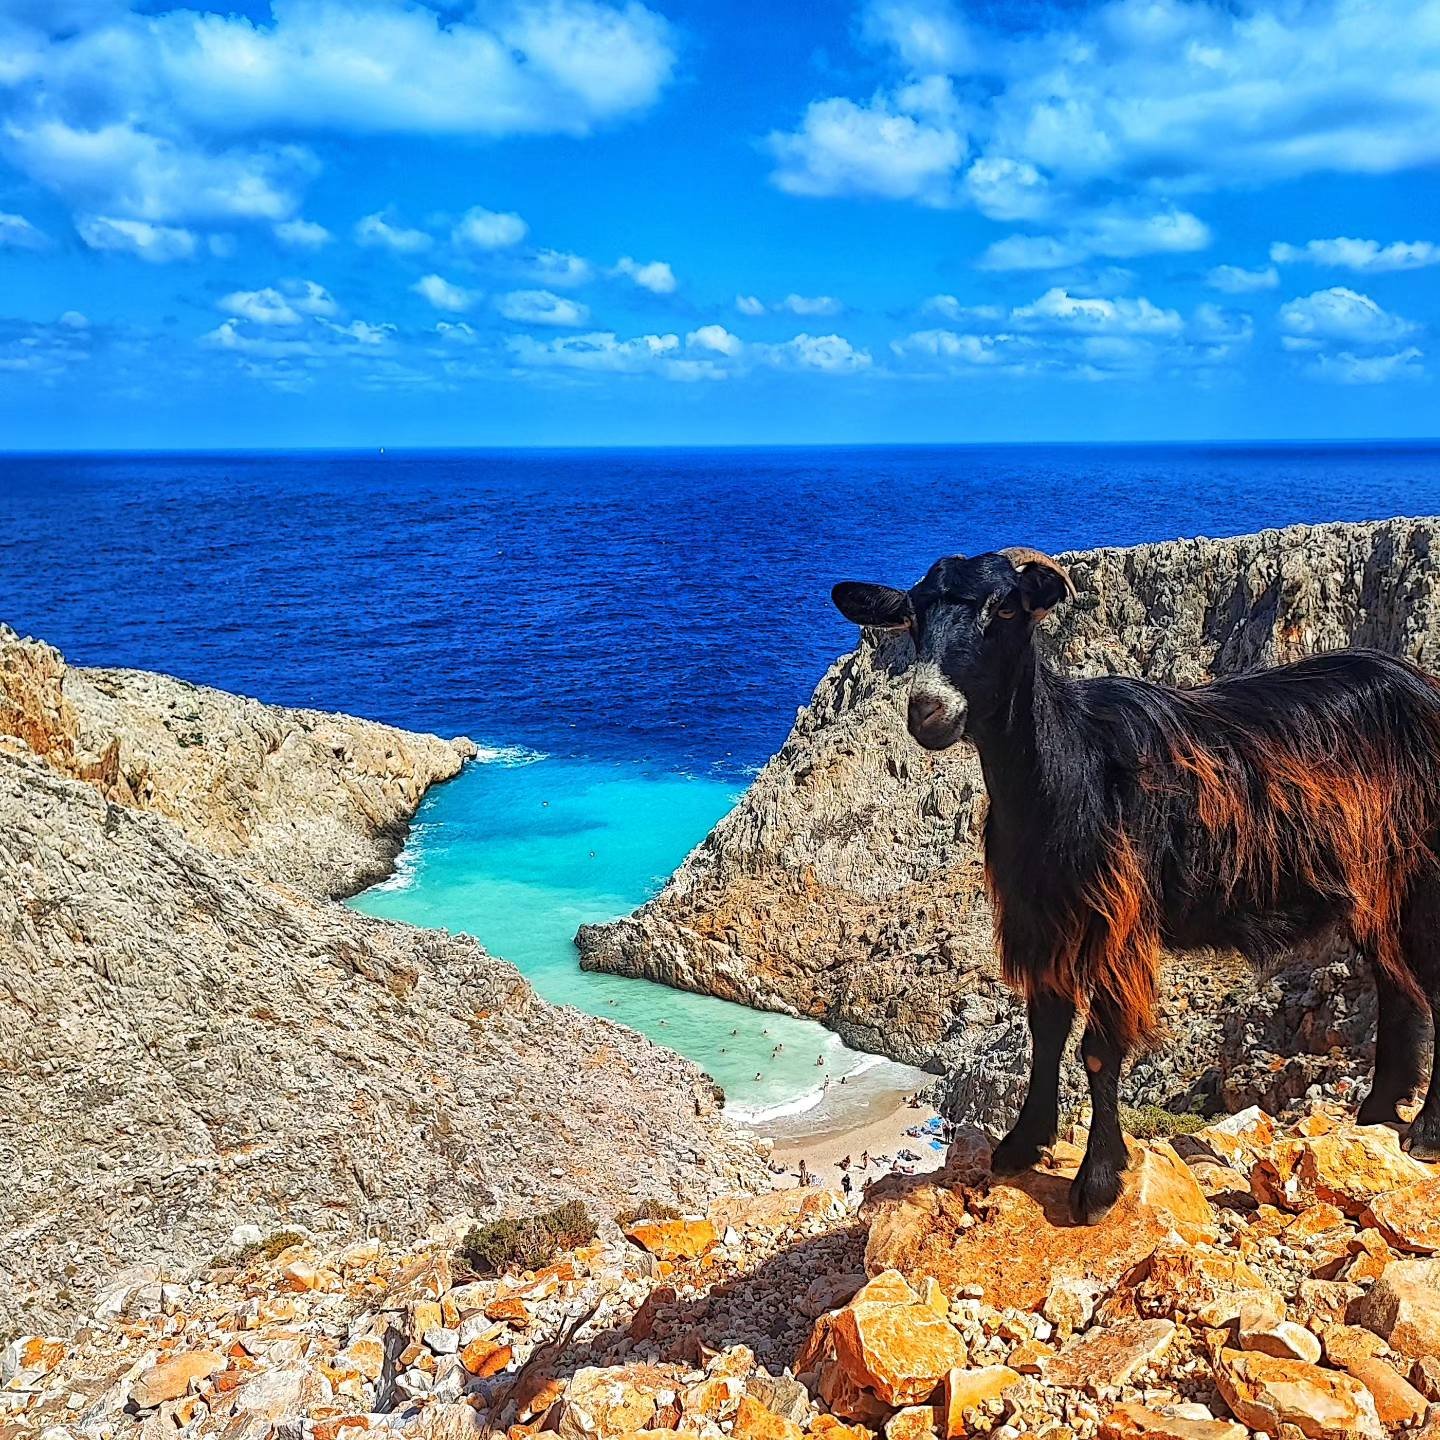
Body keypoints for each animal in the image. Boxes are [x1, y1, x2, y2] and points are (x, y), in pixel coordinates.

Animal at [835, 544, 1440, 1221]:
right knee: (1397, 988)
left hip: (1424, 875)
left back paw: (1425, 1132)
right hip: (1376, 891)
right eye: (912, 618)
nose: (928, 711)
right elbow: (1046, 1029)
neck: (1069, 768)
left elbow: (1097, 1049)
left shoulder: (1115, 922)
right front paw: (1022, 1144)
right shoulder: (1045, 917)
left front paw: (1097, 1183)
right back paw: (1376, 1115)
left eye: (1007, 609)